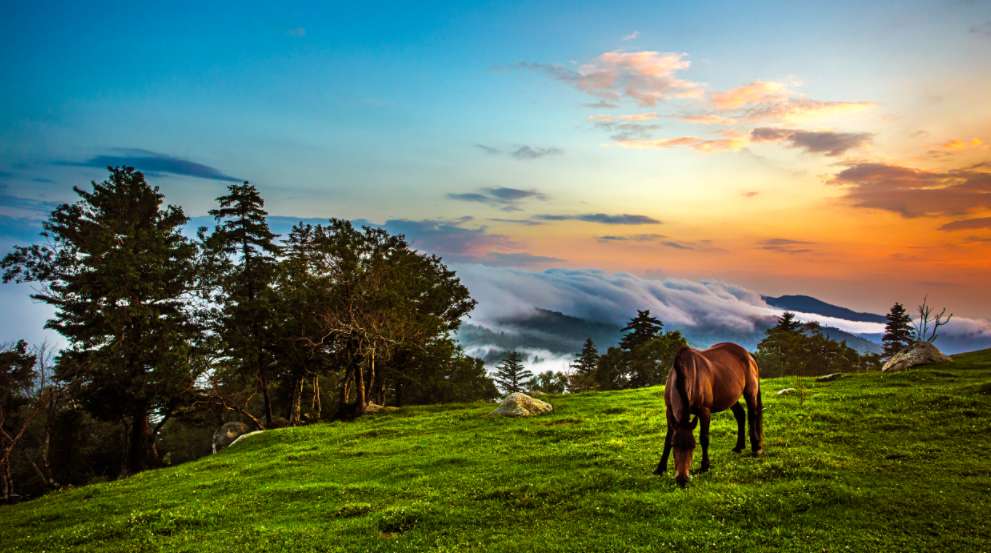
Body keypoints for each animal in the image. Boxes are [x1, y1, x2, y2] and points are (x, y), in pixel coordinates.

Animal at [656, 342, 764, 486]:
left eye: (693, 446)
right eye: (675, 446)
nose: (682, 479)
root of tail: (748, 354)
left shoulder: (704, 411)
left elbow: (704, 438)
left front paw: (705, 466)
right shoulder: (669, 412)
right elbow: (667, 439)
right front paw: (660, 468)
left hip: (750, 392)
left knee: (753, 415)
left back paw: (756, 447)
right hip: (731, 397)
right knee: (740, 415)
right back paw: (738, 447)